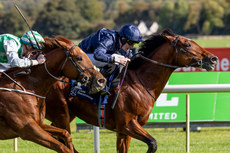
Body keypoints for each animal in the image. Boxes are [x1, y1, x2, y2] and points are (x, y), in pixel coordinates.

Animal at [44, 29, 217, 153]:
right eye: (187, 45)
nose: (213, 59)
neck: (141, 84)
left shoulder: (124, 132)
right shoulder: (127, 124)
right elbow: (153, 143)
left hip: (67, 113)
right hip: (61, 114)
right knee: (63, 137)